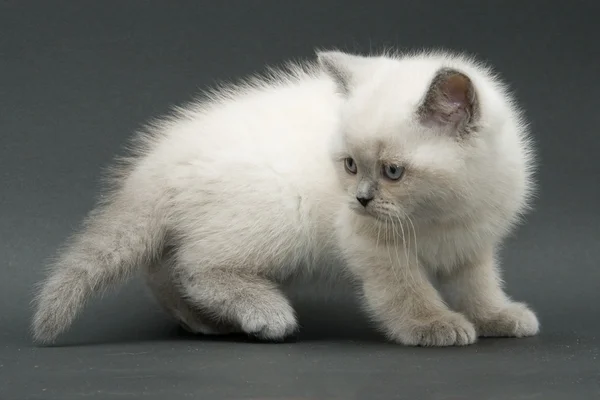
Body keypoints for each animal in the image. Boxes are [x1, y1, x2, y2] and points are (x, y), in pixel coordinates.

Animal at [31, 48, 540, 346]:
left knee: (162, 268)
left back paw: (203, 323)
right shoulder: (370, 244)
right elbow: (404, 290)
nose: (361, 200)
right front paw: (432, 325)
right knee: (195, 266)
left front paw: (497, 317)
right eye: (350, 165)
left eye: (393, 172)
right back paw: (264, 314)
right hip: (279, 218)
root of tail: (157, 162)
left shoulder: (474, 244)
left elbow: (479, 286)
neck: (442, 215)